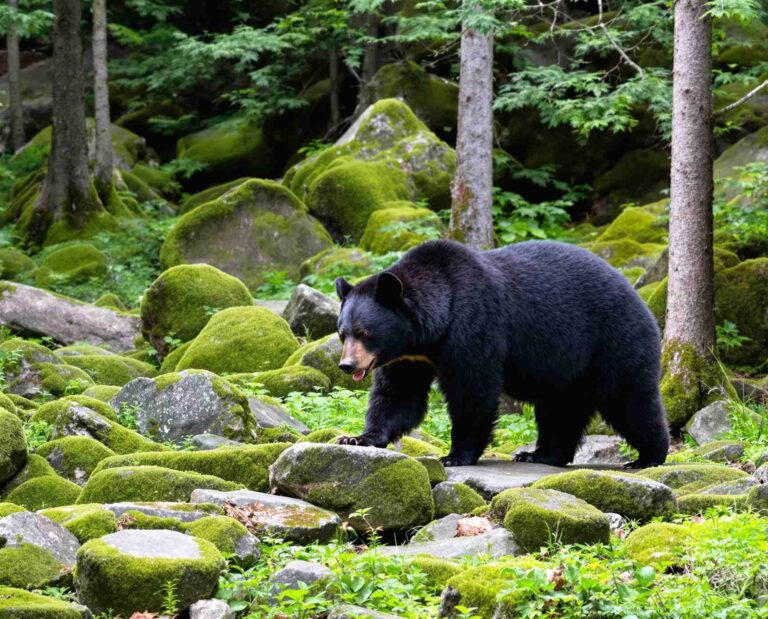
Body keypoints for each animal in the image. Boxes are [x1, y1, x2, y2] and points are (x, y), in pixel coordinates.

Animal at [333, 239, 669, 468]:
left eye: (365, 332)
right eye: (342, 333)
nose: (347, 365)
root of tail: (641, 300)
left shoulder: (473, 326)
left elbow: (472, 390)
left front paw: (455, 455)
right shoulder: (409, 359)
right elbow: (399, 396)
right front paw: (357, 437)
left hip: (613, 342)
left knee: (629, 399)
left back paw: (648, 456)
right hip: (568, 368)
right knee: (561, 408)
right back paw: (540, 454)